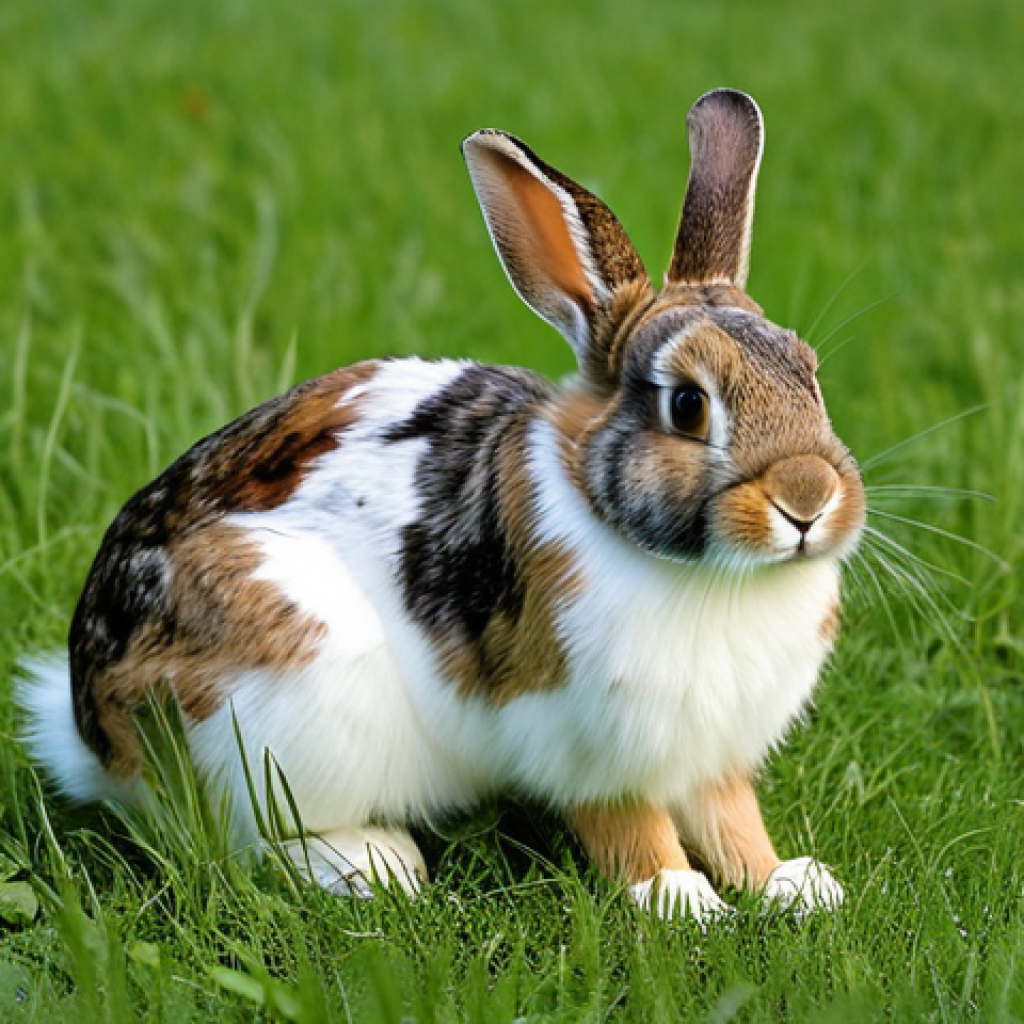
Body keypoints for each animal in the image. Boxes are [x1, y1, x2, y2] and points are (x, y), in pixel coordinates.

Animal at [18, 88, 865, 923]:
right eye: (687, 405)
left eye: (810, 374)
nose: (808, 499)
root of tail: (92, 731)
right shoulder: (580, 736)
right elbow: (630, 826)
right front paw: (678, 897)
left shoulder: (712, 755)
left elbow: (731, 819)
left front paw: (790, 884)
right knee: (243, 842)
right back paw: (376, 861)